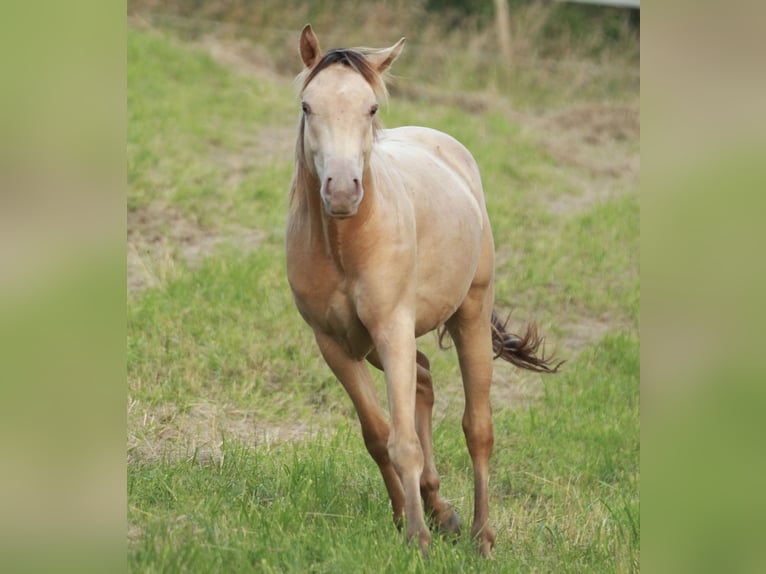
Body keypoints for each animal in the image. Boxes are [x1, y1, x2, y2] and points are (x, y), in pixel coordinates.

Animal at [284, 23, 560, 560]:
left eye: (372, 108)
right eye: (308, 106)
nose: (343, 190)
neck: (345, 243)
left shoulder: (392, 329)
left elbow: (404, 441)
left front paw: (416, 538)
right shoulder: (334, 344)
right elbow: (379, 434)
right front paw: (403, 518)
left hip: (469, 313)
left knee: (478, 428)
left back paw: (481, 536)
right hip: (375, 343)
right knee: (426, 381)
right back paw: (441, 509)